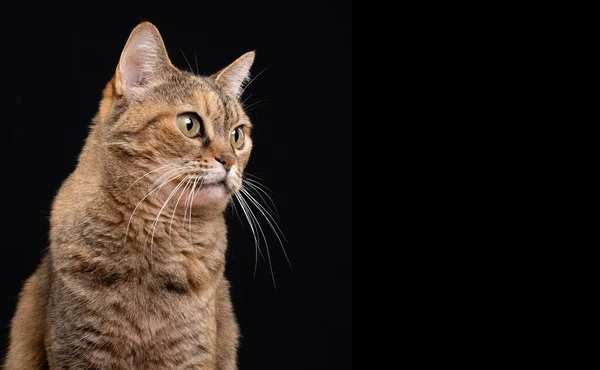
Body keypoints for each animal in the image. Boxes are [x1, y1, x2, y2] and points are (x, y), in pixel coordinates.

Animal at [4, 21, 258, 368]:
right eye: (189, 124)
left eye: (237, 135)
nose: (230, 162)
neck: (157, 236)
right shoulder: (79, 350)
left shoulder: (191, 354)